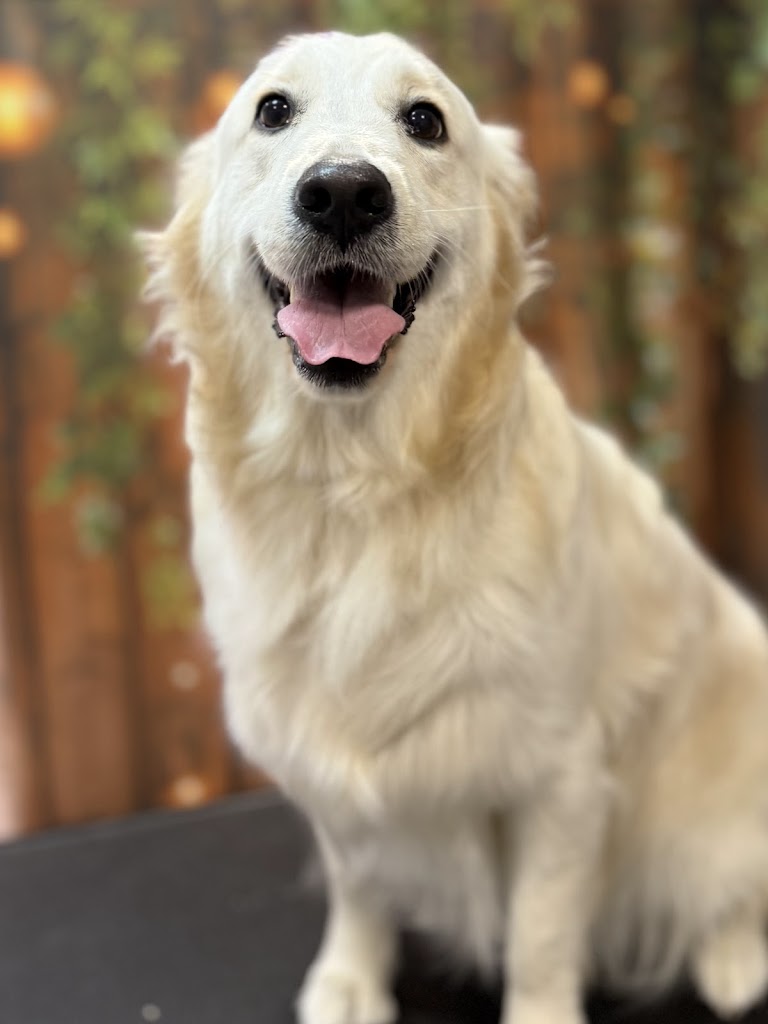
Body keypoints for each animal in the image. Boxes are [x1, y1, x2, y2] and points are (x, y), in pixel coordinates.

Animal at [142, 31, 768, 1024]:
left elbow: (542, 939)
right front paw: (351, 979)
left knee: (734, 884)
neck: (356, 494)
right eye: (272, 110)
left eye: (425, 120)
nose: (343, 192)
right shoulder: (323, 755)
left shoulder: (560, 780)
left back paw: (735, 960)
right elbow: (358, 878)